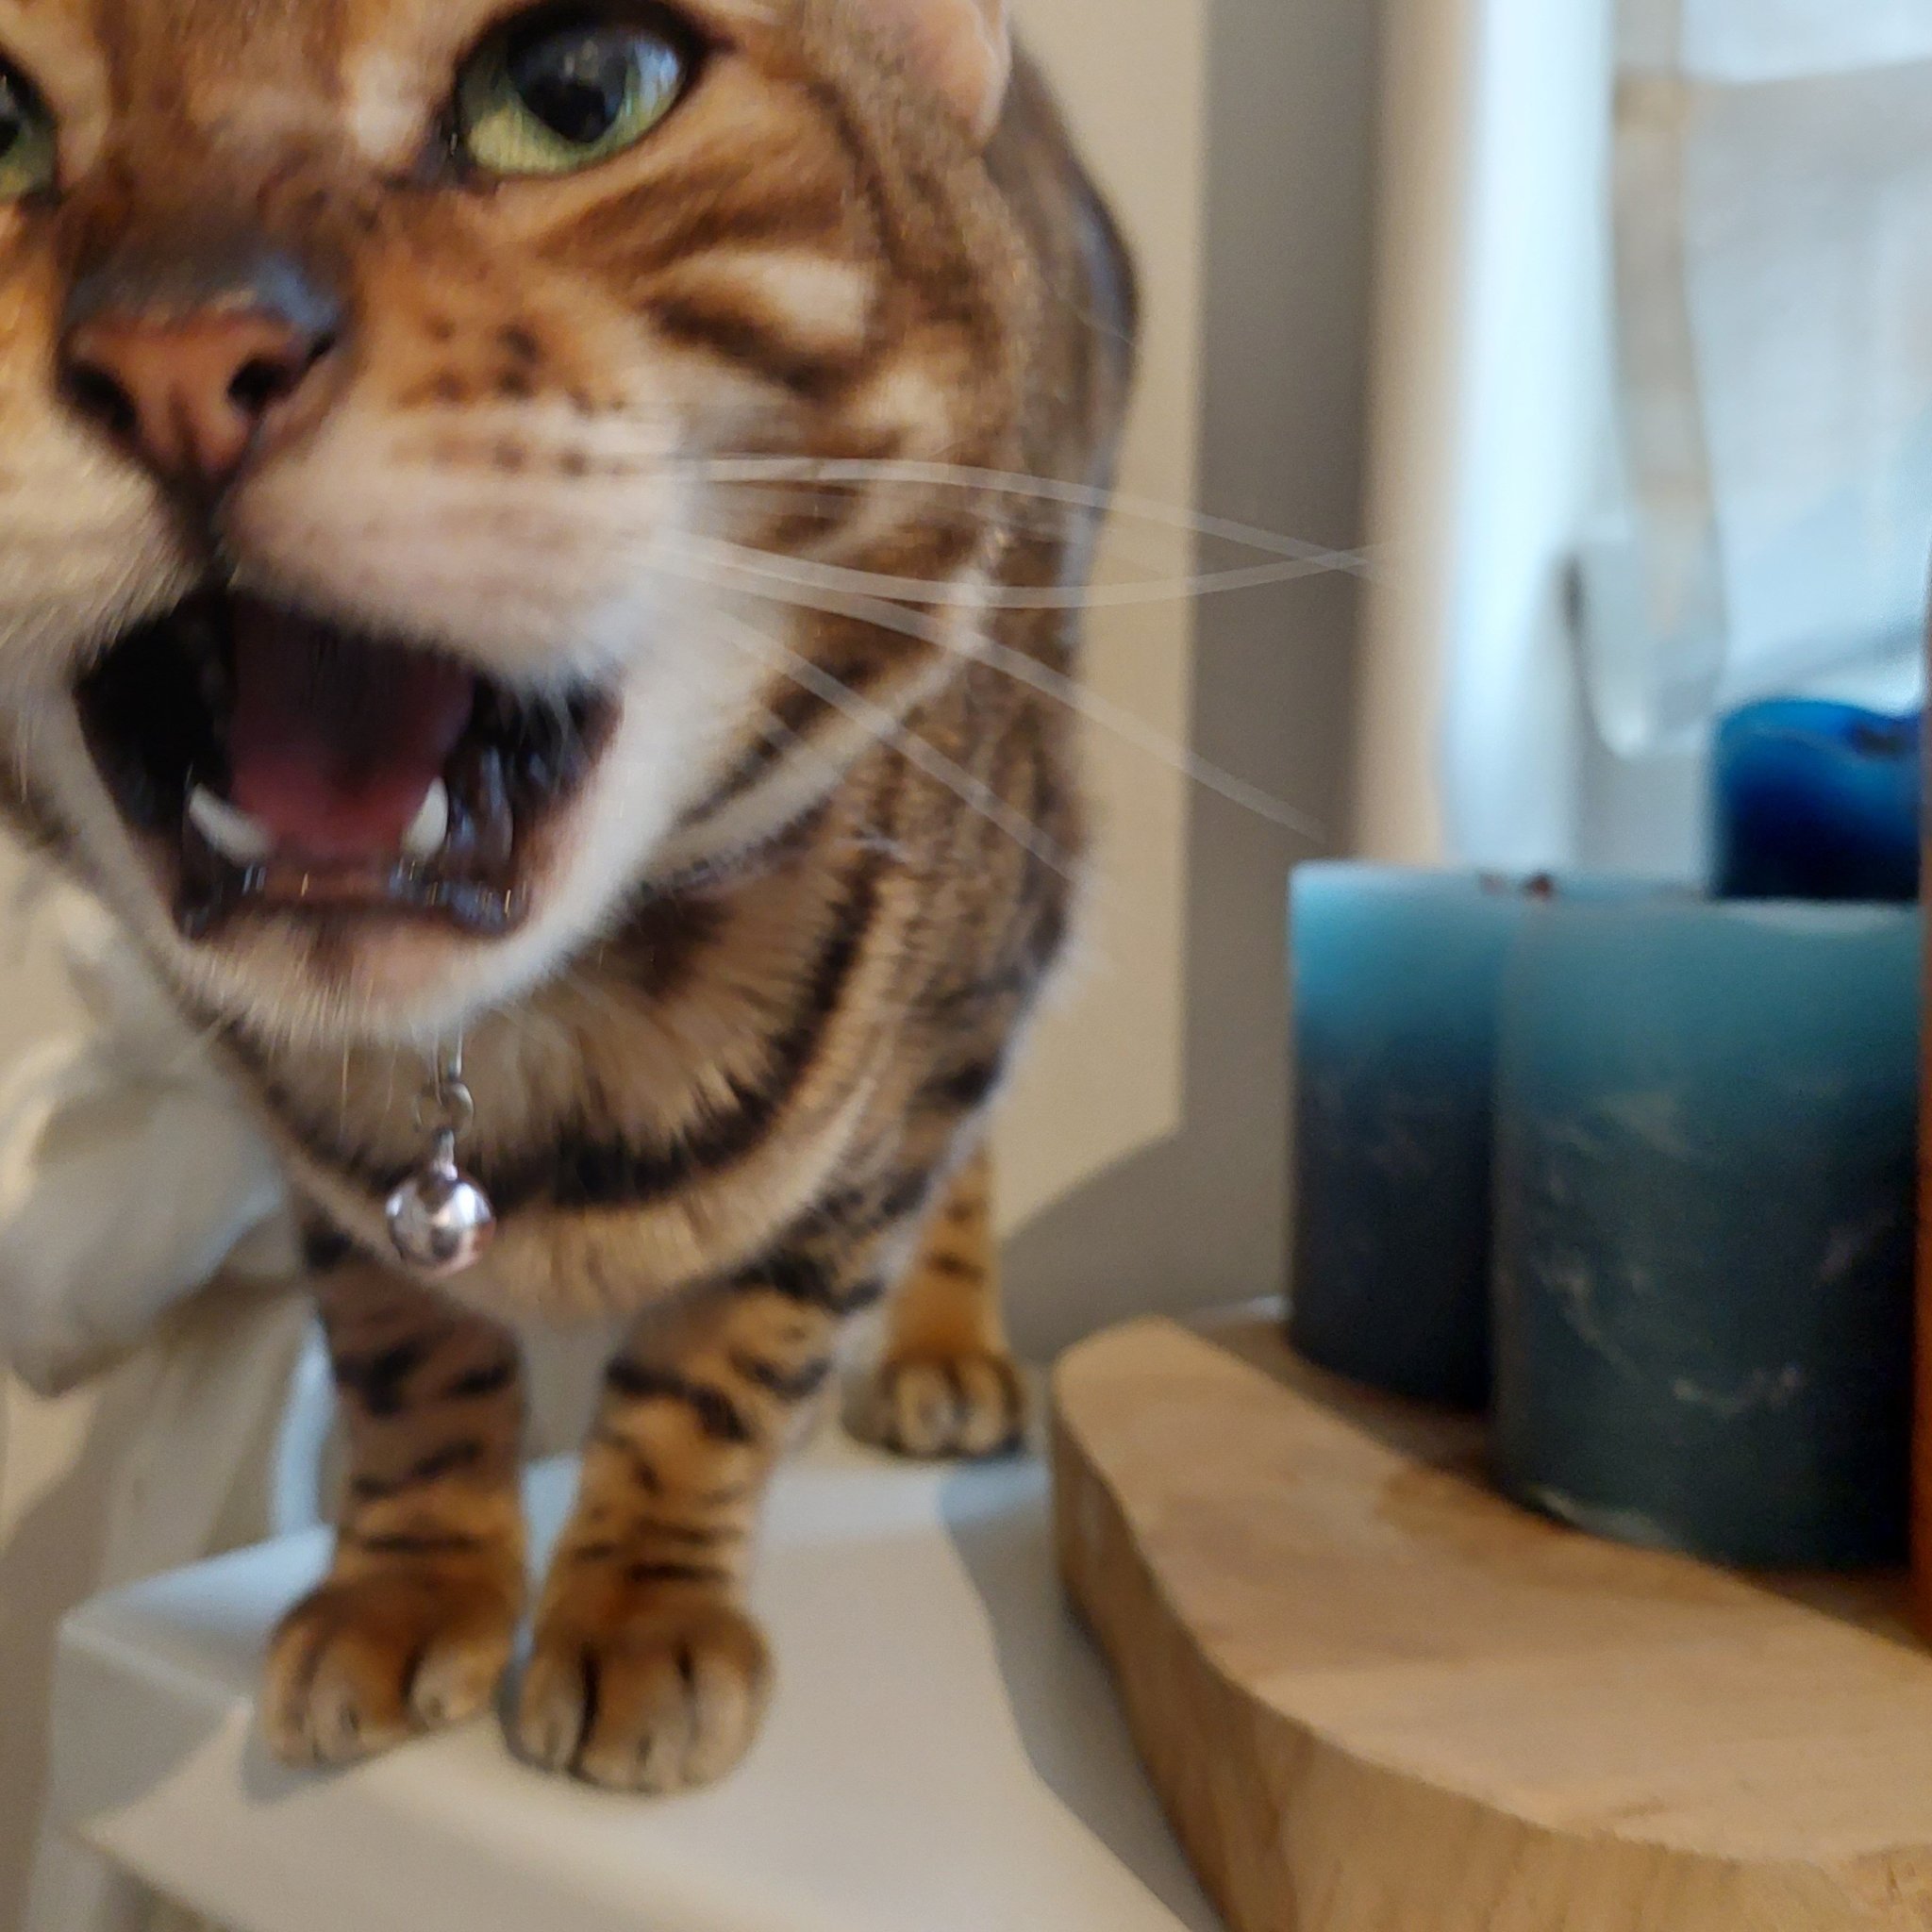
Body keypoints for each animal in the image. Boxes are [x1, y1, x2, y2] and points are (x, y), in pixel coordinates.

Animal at [0, 0, 1135, 1792]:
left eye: (577, 94)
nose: (178, 359)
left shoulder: (944, 1023)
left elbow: (734, 1349)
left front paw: (638, 1608)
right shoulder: (329, 1171)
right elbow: (402, 1347)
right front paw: (410, 1586)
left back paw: (943, 1353)